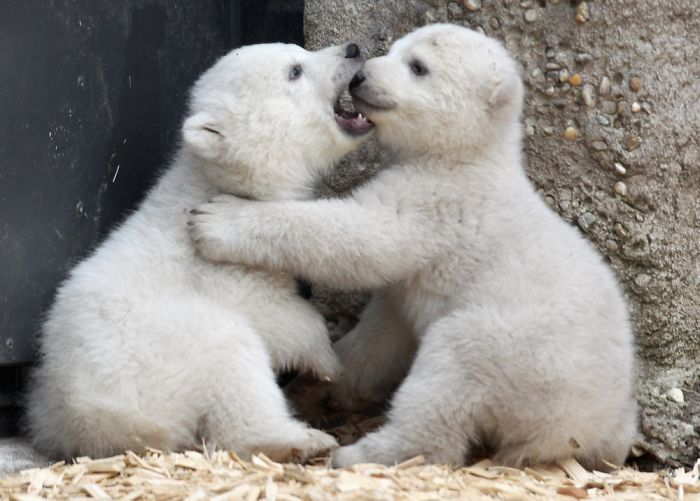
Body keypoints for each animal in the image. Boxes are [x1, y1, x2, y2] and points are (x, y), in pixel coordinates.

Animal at [26, 40, 374, 461]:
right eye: (295, 71)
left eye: (299, 51)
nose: (352, 49)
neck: (214, 182)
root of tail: (87, 418)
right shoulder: (216, 269)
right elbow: (279, 319)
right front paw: (327, 362)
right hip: (165, 356)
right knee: (235, 361)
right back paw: (300, 440)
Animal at [187, 24, 638, 470]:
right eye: (397, 49)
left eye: (418, 66)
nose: (360, 76)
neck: (465, 158)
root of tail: (572, 432)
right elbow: (382, 333)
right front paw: (322, 384)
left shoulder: (438, 203)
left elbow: (362, 236)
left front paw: (216, 221)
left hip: (520, 352)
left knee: (448, 376)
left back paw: (364, 452)